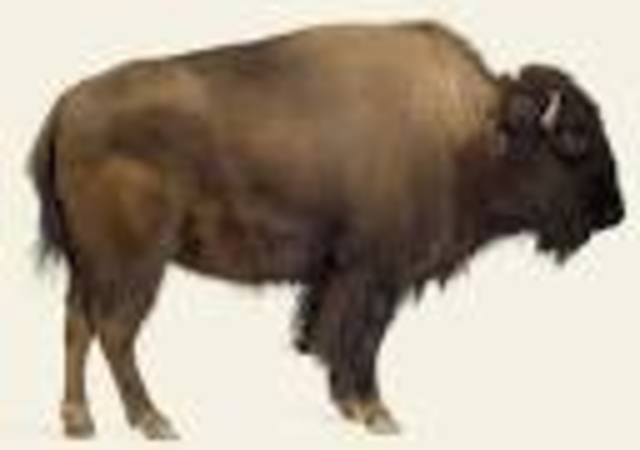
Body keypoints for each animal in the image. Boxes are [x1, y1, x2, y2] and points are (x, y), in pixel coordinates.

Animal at [30, 20, 624, 439]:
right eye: (574, 137)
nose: (615, 212)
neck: (472, 131)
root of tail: (65, 106)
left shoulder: (342, 276)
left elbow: (341, 339)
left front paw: (351, 406)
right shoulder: (372, 274)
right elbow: (360, 340)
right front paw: (377, 413)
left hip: (90, 265)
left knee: (77, 325)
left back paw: (79, 421)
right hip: (136, 264)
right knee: (115, 331)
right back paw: (154, 421)